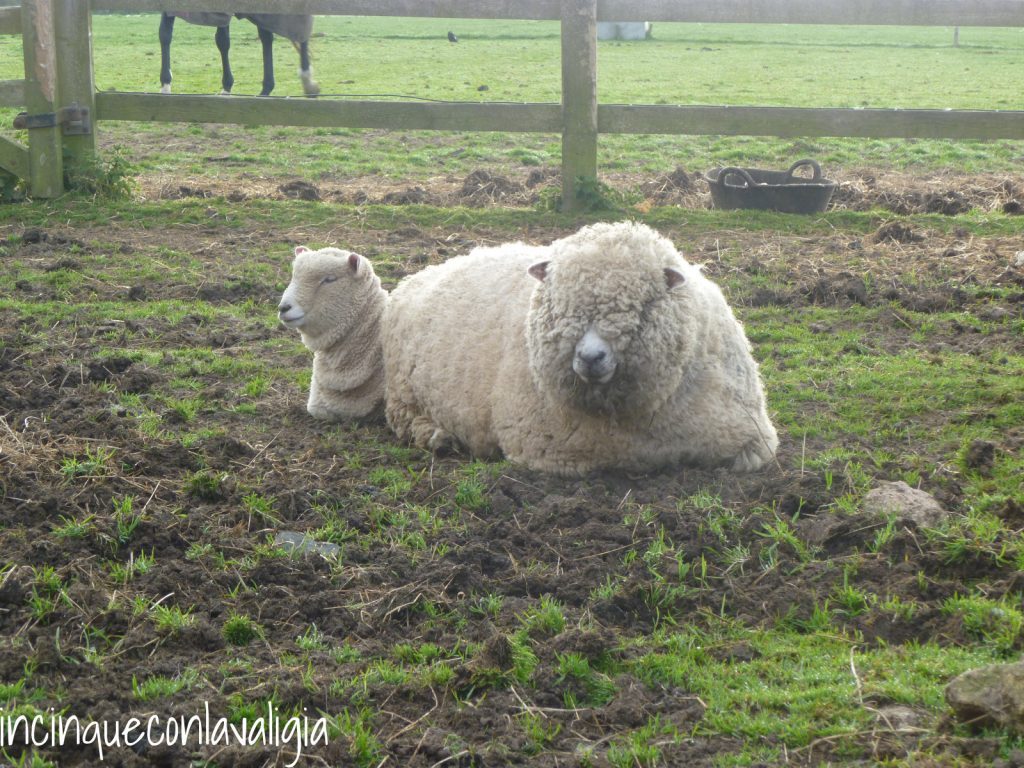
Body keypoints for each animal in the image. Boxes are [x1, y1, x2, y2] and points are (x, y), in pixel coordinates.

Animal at [382, 221, 778, 475]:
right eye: (559, 303)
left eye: (644, 304)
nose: (590, 357)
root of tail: (419, 274)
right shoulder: (555, 453)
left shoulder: (752, 437)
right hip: (404, 392)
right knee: (406, 421)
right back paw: (438, 437)